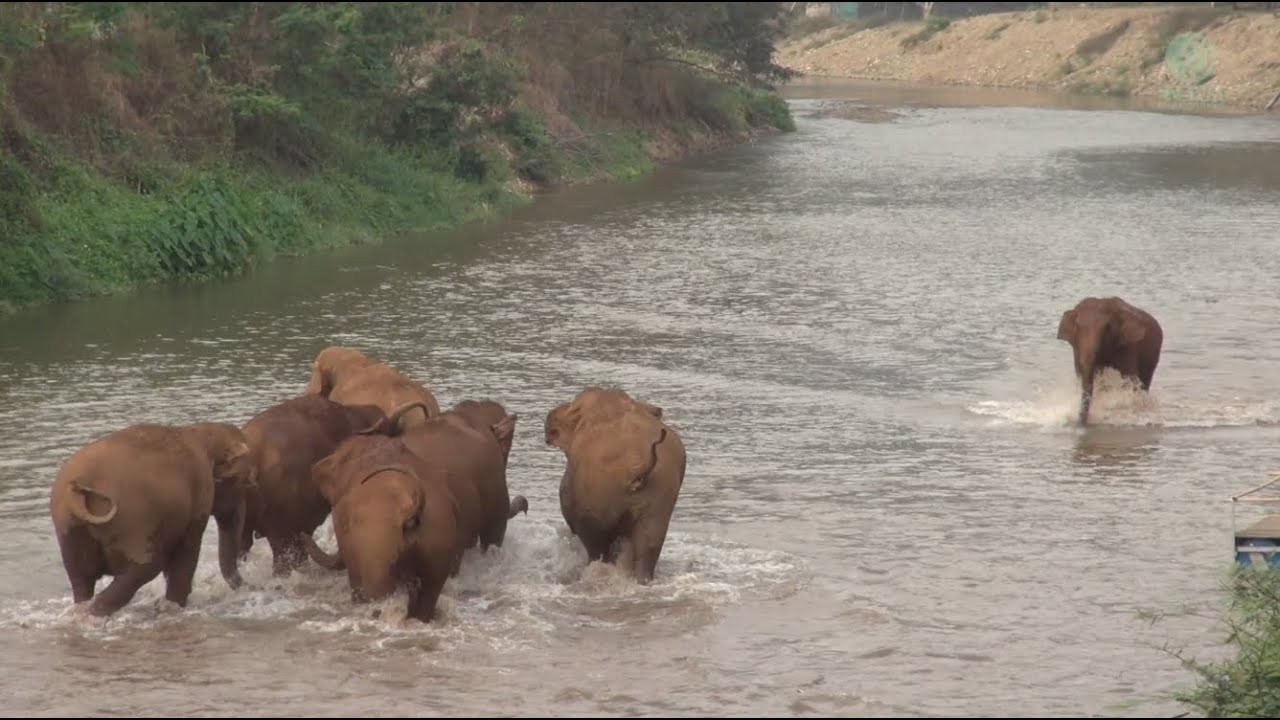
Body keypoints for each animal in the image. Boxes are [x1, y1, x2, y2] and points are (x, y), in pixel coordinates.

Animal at [48, 421, 255, 617]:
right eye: (245, 481)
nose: (250, 588)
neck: (199, 432)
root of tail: (77, 491)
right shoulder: (200, 496)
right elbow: (188, 550)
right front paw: (174, 607)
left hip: (67, 526)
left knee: (81, 579)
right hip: (133, 522)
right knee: (147, 567)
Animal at [546, 387, 686, 584]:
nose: (551, 414)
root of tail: (640, 461)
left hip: (597, 494)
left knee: (596, 545)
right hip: (662, 494)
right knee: (649, 546)